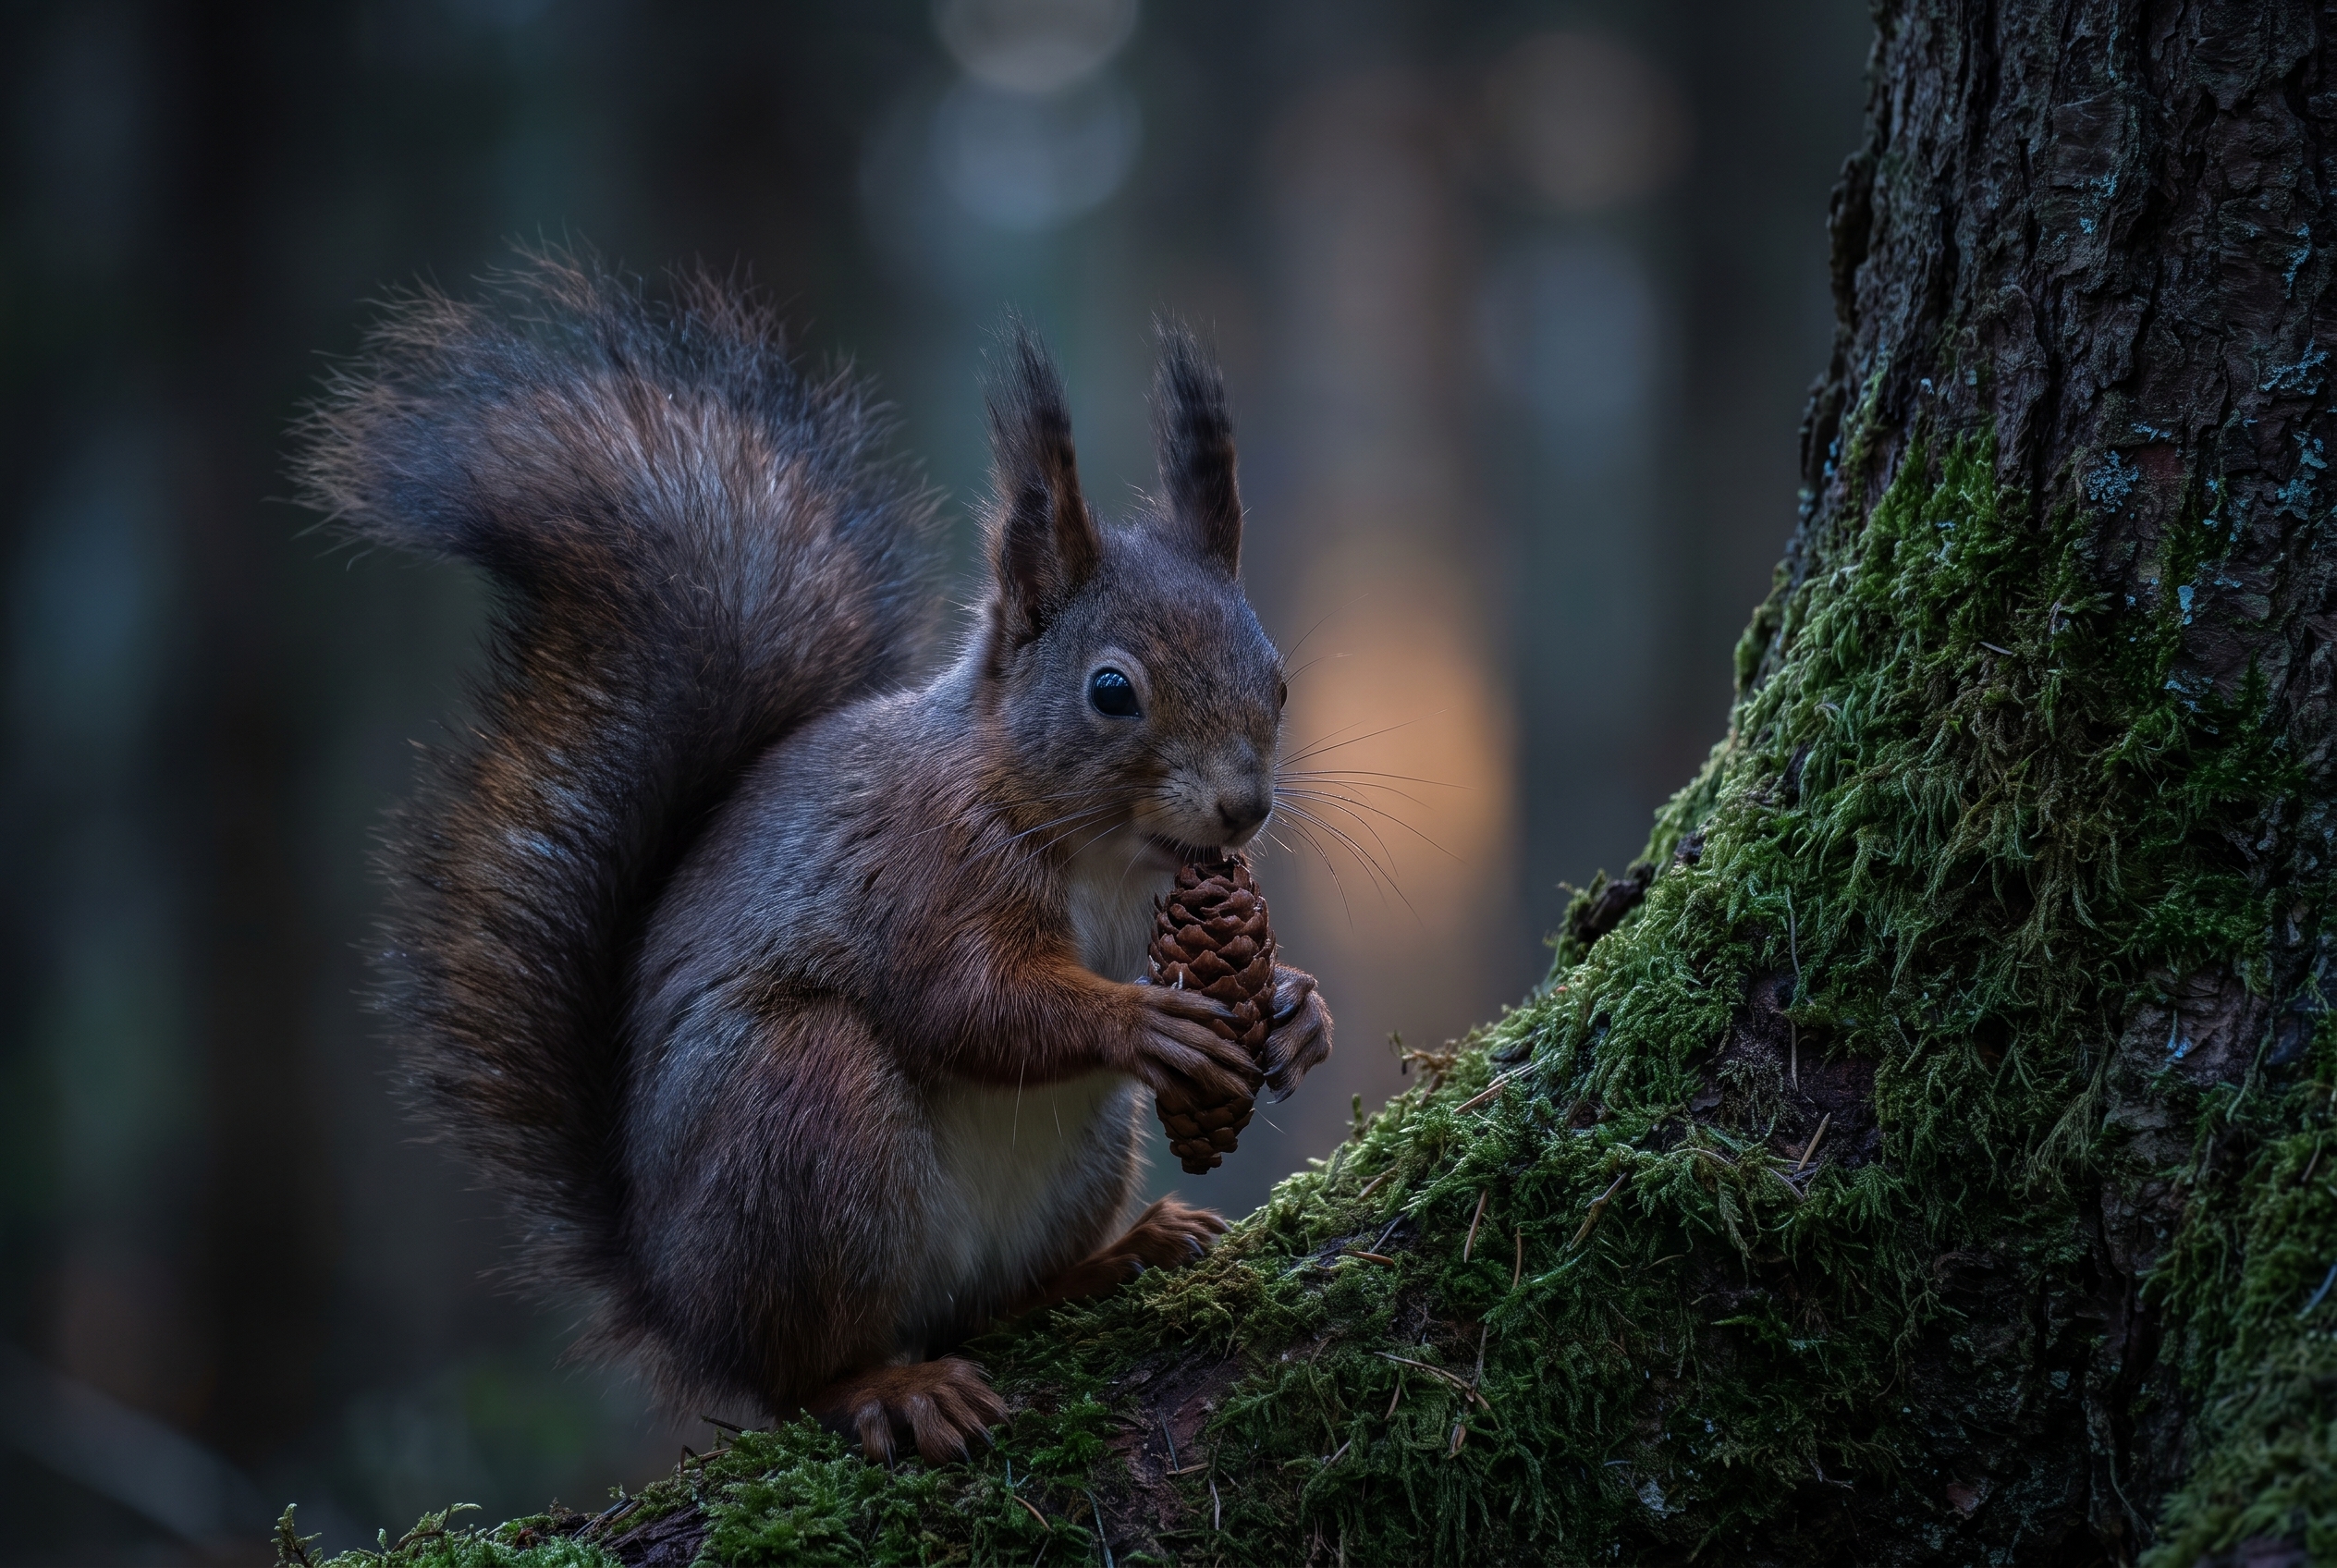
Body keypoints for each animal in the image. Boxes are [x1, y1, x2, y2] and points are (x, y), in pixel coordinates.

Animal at [296, 256, 1333, 1465]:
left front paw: (1295, 1008)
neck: (1108, 854)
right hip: (802, 1113)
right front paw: (1142, 1020)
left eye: (1275, 677)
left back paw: (1113, 1256)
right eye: (1111, 690)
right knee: (804, 1372)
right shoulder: (922, 869)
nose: (1242, 807)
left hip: (1074, 1160)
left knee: (990, 1305)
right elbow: (970, 1000)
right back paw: (887, 1387)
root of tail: (678, 1301)